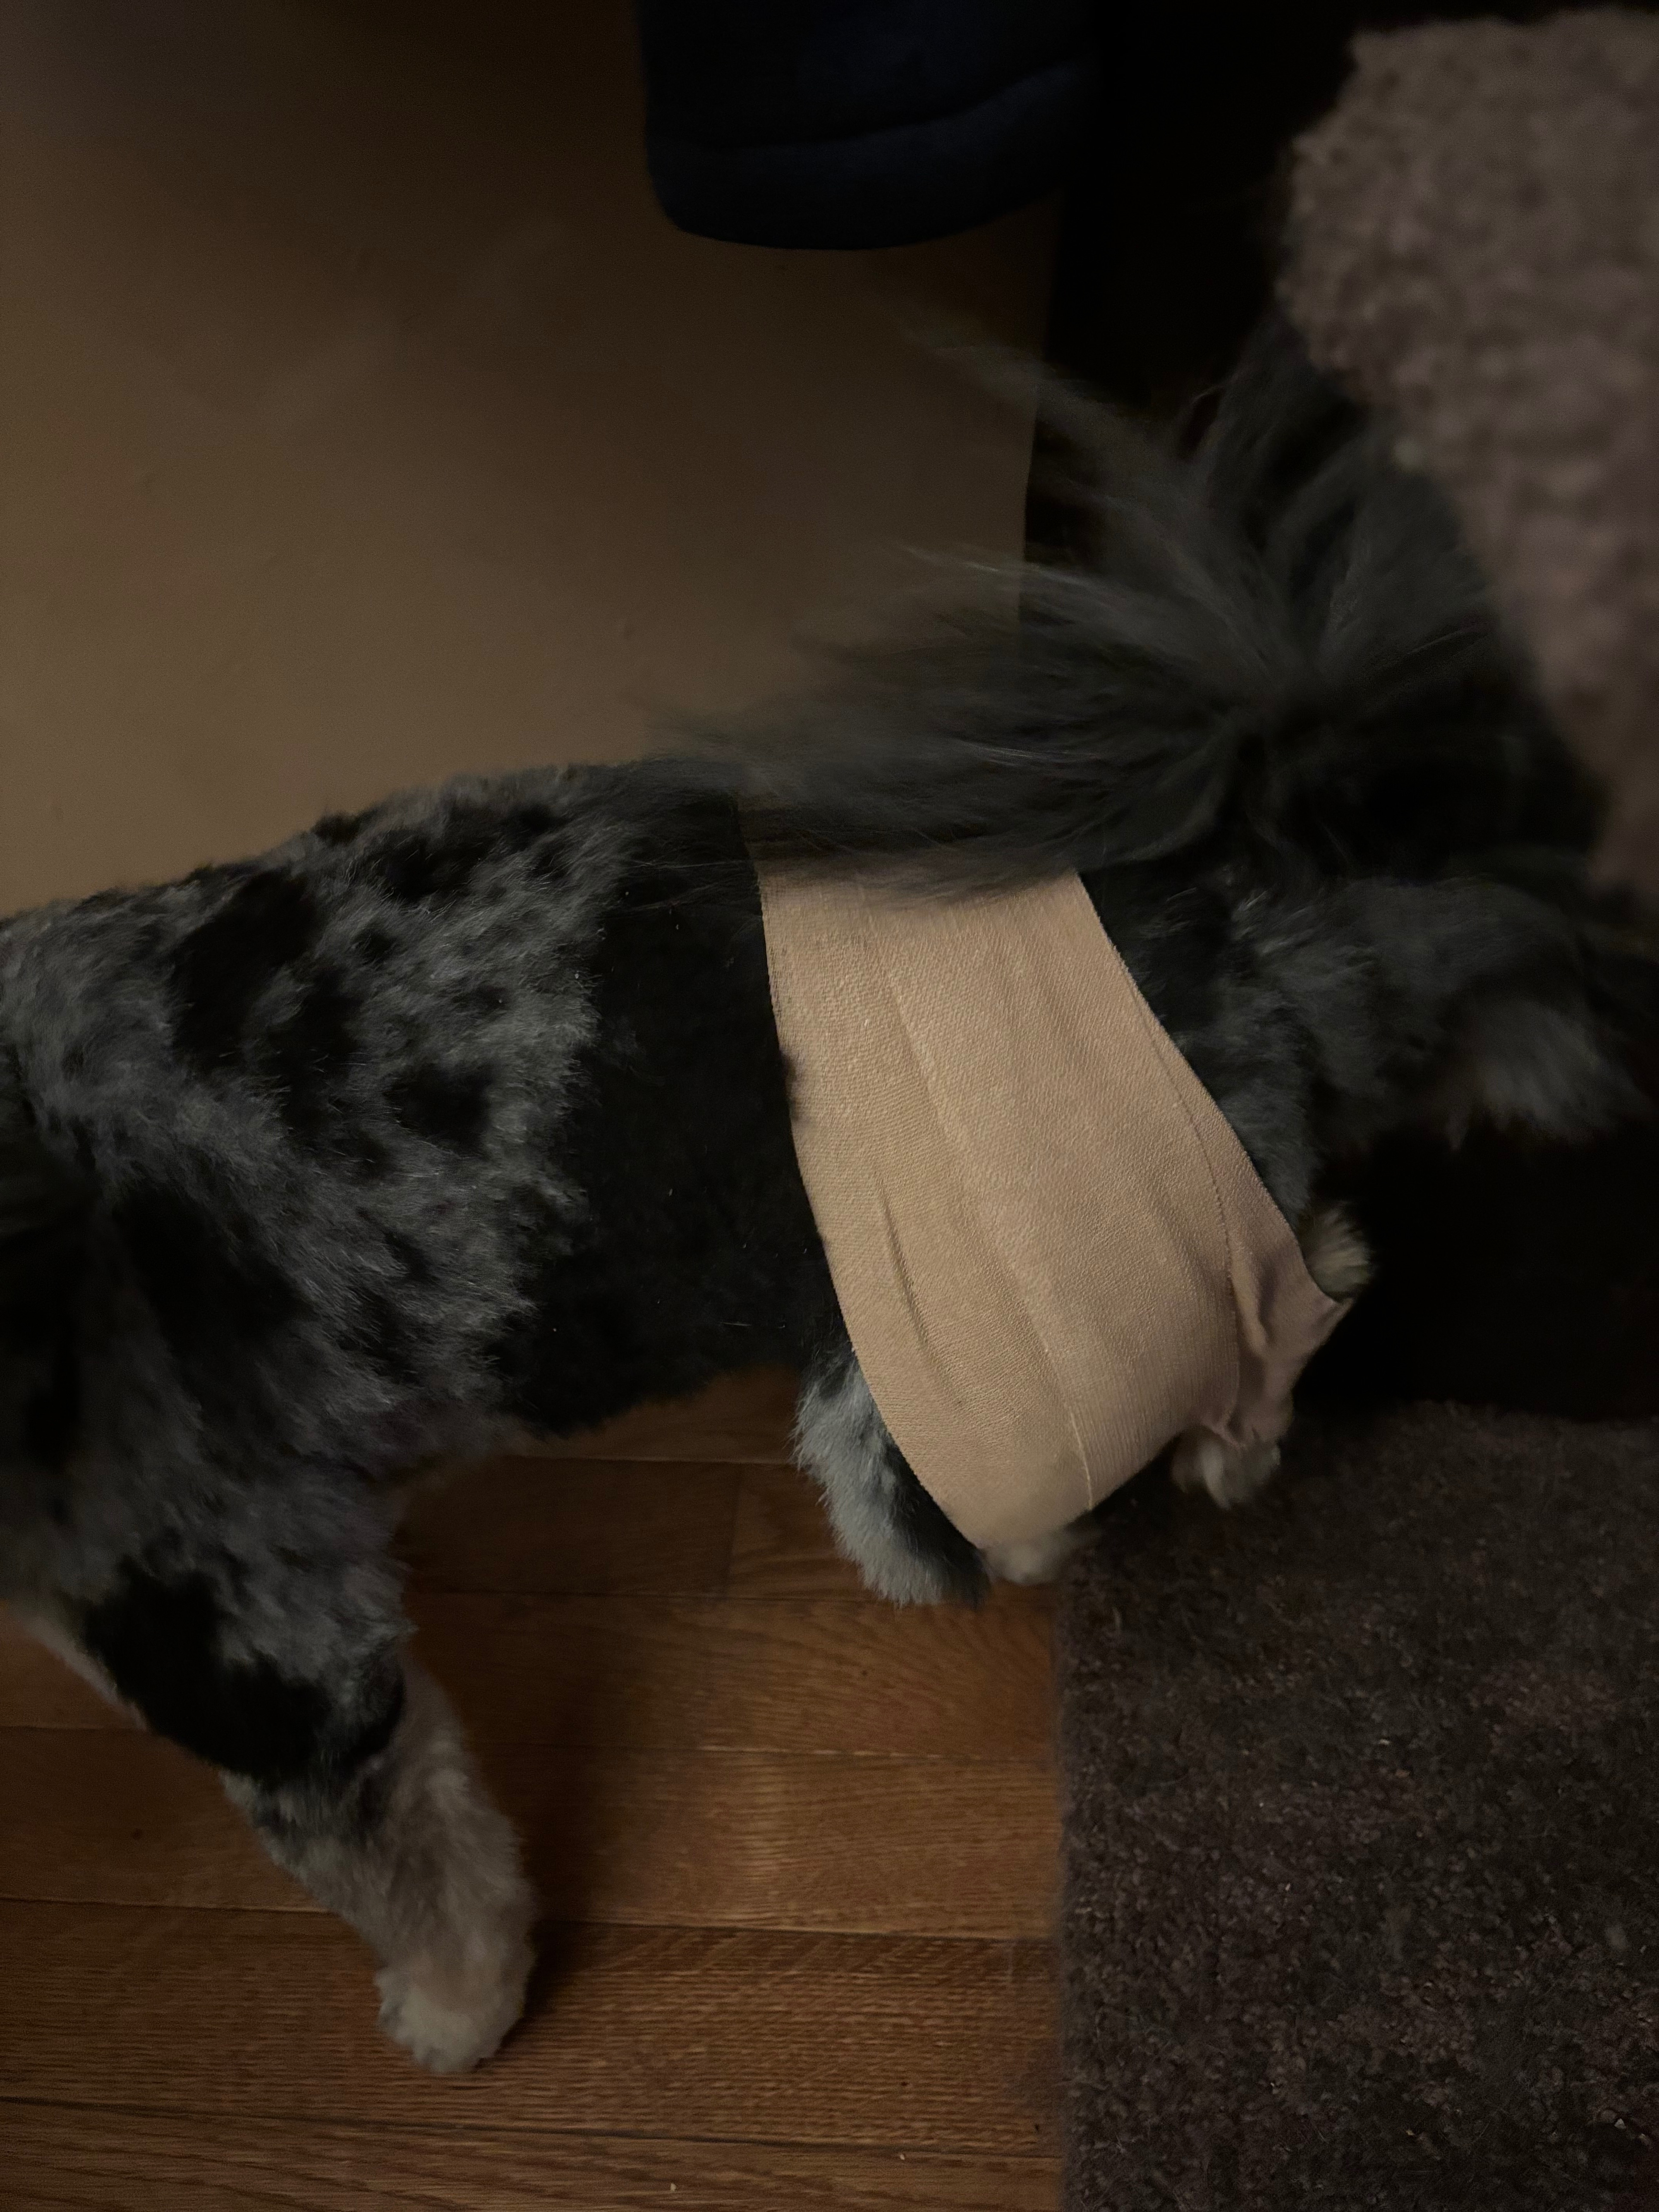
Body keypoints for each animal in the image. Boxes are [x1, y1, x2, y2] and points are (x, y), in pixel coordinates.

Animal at [0, 324, 1648, 2070]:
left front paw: (457, 2018)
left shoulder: (257, 1644)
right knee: (1304, 1265)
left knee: (1212, 1361)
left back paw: (1177, 1471)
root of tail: (1256, 908)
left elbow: (415, 1873)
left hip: (938, 1410)